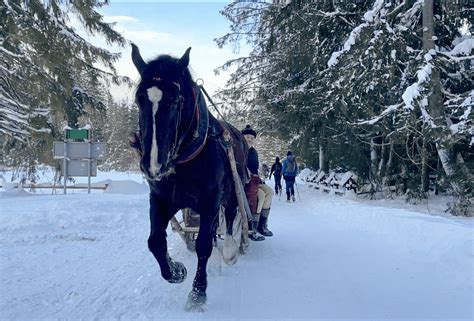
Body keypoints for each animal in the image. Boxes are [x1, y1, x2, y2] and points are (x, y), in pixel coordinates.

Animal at [130, 44, 248, 310]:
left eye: (175, 100)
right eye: (139, 99)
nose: (153, 165)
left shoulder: (210, 200)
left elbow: (203, 245)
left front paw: (198, 292)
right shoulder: (162, 199)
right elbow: (155, 241)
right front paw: (176, 271)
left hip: (231, 193)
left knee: (231, 216)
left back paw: (229, 250)